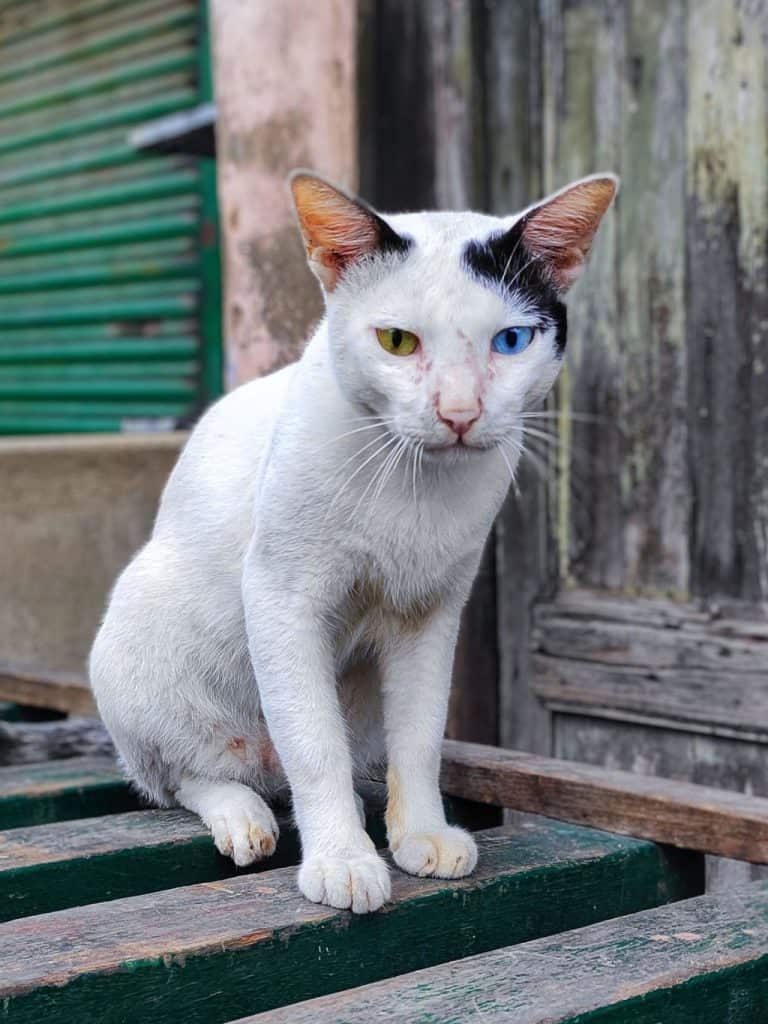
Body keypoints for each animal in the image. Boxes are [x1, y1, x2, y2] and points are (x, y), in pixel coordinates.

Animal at [90, 172, 618, 917]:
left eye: (511, 340)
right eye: (397, 341)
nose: (460, 414)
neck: (415, 482)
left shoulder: (434, 613)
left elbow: (421, 735)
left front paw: (420, 832)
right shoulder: (280, 598)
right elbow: (315, 745)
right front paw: (341, 859)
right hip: (135, 656)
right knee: (185, 777)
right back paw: (242, 816)